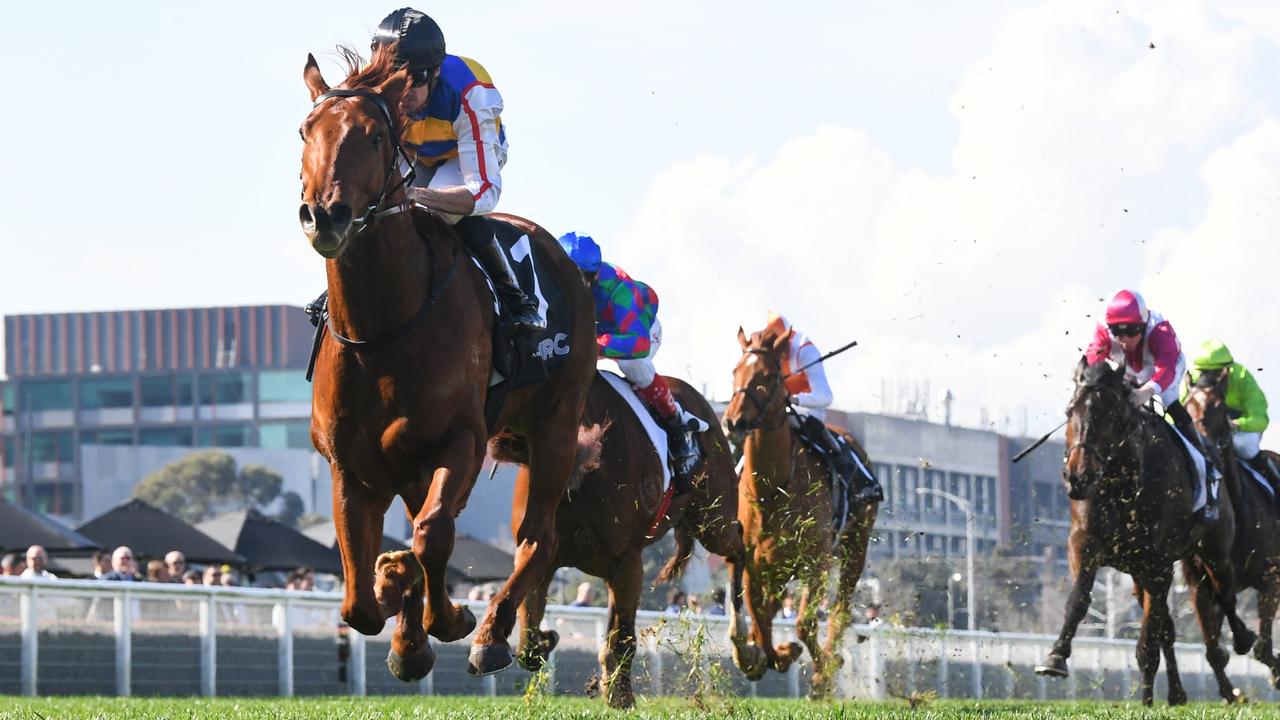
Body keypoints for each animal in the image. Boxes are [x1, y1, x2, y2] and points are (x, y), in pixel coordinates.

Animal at [302, 47, 596, 676]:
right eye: (305, 130)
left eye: (372, 137)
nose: (325, 215)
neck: (383, 332)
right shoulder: (350, 465)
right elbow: (359, 600)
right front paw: (401, 618)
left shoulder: (461, 437)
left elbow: (432, 534)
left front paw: (450, 617)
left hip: (556, 424)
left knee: (538, 538)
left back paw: (492, 633)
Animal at [471, 371, 747, 702]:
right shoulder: (543, 552)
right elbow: (527, 634)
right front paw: (526, 641)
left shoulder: (627, 560)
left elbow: (624, 637)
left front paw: (621, 695)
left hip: (714, 520)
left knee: (739, 545)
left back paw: (746, 646)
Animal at [721, 324, 880, 696]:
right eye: (735, 371)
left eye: (767, 376)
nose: (733, 421)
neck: (772, 489)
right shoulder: (754, 564)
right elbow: (760, 619)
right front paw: (771, 655)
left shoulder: (816, 561)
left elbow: (804, 622)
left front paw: (822, 675)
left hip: (855, 545)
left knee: (840, 610)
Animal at [1039, 356, 1249, 702]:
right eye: (1070, 411)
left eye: (1110, 415)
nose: (1078, 476)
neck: (1121, 484)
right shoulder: (1084, 544)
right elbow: (1080, 599)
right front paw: (1055, 657)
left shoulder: (1157, 563)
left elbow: (1151, 636)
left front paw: (1147, 697)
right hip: (1139, 573)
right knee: (1170, 624)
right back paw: (1175, 692)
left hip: (1213, 551)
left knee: (1225, 593)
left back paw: (1243, 641)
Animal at [1182, 376, 1280, 681]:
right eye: (1187, 405)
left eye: (1218, 406)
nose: (1202, 443)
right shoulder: (1200, 581)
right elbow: (1215, 652)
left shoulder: (1271, 578)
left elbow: (1261, 649)